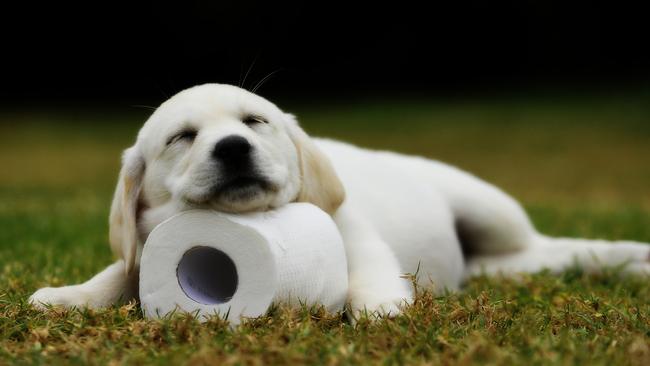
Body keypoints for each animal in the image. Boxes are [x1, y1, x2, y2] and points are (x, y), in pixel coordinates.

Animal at [29, 84, 648, 316]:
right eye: (183, 137)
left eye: (255, 122)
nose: (233, 147)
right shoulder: (146, 243)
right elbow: (120, 271)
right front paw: (69, 295)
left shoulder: (353, 232)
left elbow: (368, 275)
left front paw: (380, 310)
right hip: (503, 260)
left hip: (491, 210)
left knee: (554, 247)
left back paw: (626, 258)